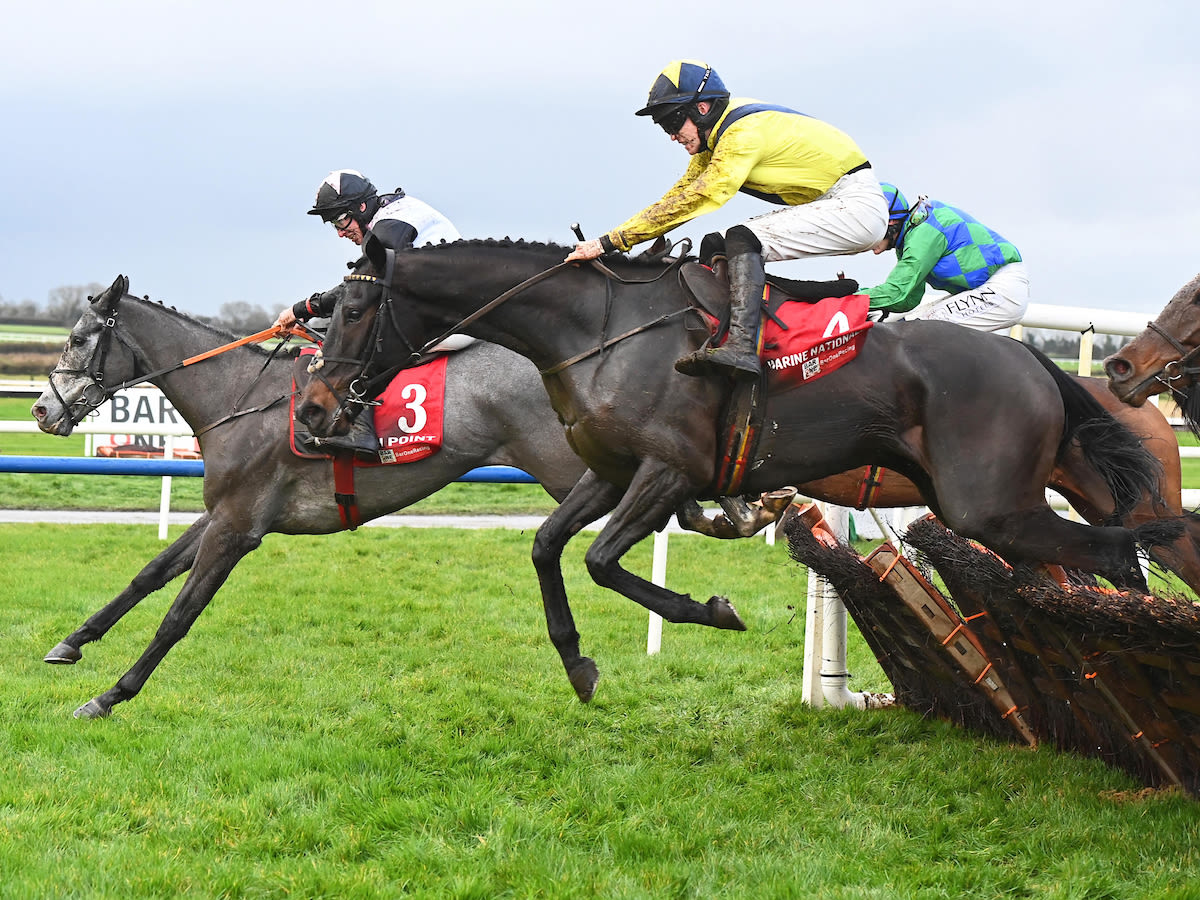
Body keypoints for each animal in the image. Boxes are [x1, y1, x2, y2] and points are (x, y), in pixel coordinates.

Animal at [30, 274, 588, 720]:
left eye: (78, 338)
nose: (41, 410)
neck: (238, 398)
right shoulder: (223, 512)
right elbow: (149, 574)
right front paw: (71, 643)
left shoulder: (238, 528)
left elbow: (178, 616)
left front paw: (110, 696)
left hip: (569, 470)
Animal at [300, 240, 1180, 705]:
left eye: (351, 310)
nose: (312, 408)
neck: (598, 327)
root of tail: (1035, 363)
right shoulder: (610, 470)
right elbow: (548, 547)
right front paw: (578, 662)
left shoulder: (668, 471)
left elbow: (600, 560)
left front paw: (710, 610)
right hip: (1002, 498)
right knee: (1096, 554)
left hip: (987, 504)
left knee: (1113, 550)